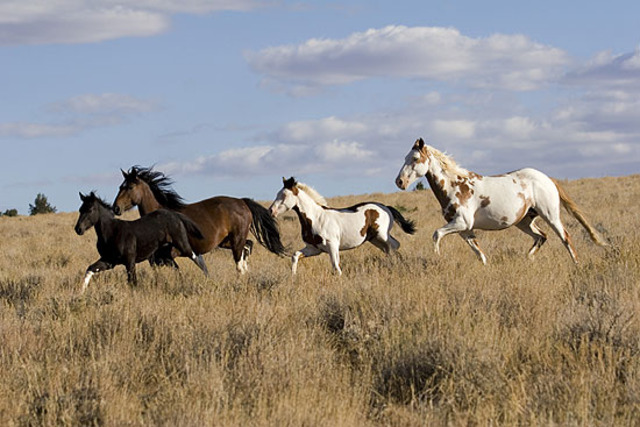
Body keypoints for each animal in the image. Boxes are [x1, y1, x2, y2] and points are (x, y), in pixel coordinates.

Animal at [74, 192, 207, 292]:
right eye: (80, 209)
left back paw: (208, 280)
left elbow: (132, 281)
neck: (112, 232)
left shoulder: (129, 261)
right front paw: (81, 291)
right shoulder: (109, 261)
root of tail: (175, 215)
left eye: (90, 209)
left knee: (197, 258)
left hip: (181, 244)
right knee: (177, 268)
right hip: (165, 255)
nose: (78, 229)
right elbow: (90, 268)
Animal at [113, 166, 285, 274]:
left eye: (129, 187)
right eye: (120, 186)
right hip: (226, 241)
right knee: (248, 246)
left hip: (236, 238)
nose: (116, 208)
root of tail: (242, 202)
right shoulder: (157, 257)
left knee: (240, 255)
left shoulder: (170, 255)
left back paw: (242, 273)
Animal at [269, 177, 416, 275]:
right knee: (390, 248)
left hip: (382, 235)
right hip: (375, 239)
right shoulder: (314, 248)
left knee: (394, 246)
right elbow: (295, 255)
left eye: (284, 195)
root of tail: (386, 207)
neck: (316, 218)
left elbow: (335, 266)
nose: (271, 211)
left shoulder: (332, 244)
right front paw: (293, 276)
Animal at [395, 138, 608, 264]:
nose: (400, 181)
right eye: (405, 157)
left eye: (415, 159)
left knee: (565, 237)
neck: (455, 186)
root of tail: (548, 179)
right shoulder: (464, 229)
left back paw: (576, 264)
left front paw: (436, 257)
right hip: (525, 221)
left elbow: (436, 234)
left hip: (550, 215)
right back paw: (527, 259)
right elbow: (479, 253)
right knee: (541, 236)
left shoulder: (461, 223)